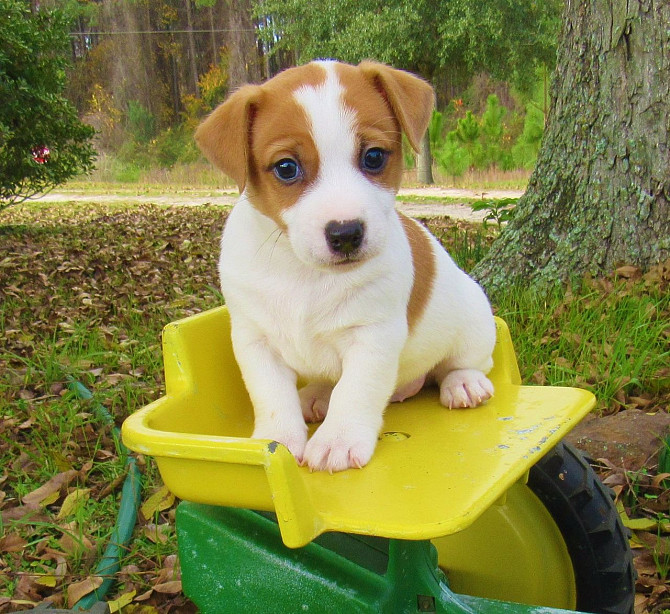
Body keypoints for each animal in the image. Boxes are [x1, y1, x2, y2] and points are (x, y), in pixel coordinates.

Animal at [197, 60, 496, 474]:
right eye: (286, 168)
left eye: (374, 157)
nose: (346, 234)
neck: (302, 271)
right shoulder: (254, 340)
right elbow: (271, 396)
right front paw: (276, 441)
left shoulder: (372, 337)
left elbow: (355, 391)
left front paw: (337, 440)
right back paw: (319, 394)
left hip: (474, 324)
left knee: (469, 363)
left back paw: (464, 383)